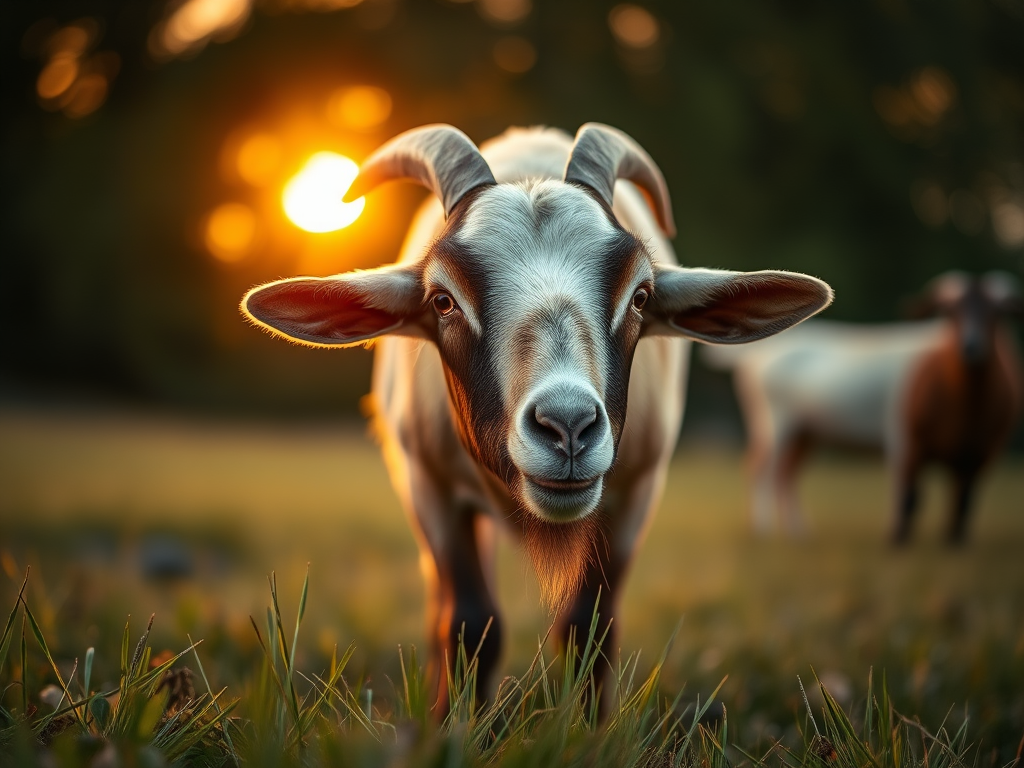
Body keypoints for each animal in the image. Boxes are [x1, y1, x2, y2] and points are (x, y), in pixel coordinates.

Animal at [242, 123, 833, 715]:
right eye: (442, 300)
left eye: (641, 296)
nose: (567, 425)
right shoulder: (428, 485)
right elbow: (468, 623)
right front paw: (453, 725)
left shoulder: (636, 493)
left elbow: (588, 627)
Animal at [704, 271, 1023, 543]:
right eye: (950, 310)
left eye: (998, 312)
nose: (972, 348)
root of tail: (754, 354)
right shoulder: (904, 439)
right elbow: (908, 498)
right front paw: (895, 540)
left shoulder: (980, 452)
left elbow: (962, 506)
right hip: (774, 421)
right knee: (761, 468)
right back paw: (764, 531)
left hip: (805, 432)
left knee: (786, 474)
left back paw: (798, 533)